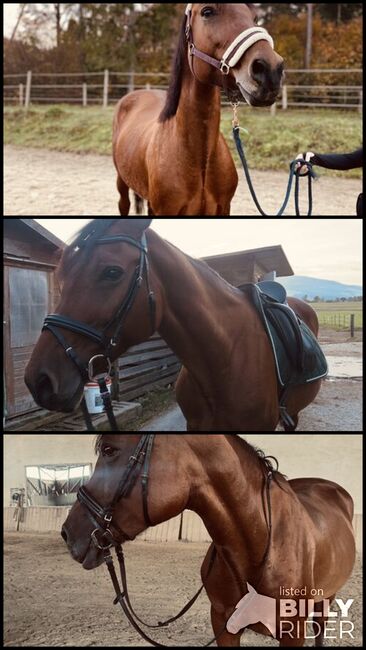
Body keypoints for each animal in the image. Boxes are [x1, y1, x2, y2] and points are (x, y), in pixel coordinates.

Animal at [61, 432, 356, 644]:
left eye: (110, 450)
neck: (259, 544)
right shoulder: (223, 623)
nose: (67, 533)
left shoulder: (293, 631)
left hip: (326, 600)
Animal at [113, 3, 284, 214]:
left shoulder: (223, 208)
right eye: (207, 11)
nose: (271, 70)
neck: (201, 161)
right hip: (121, 181)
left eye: (254, 18)